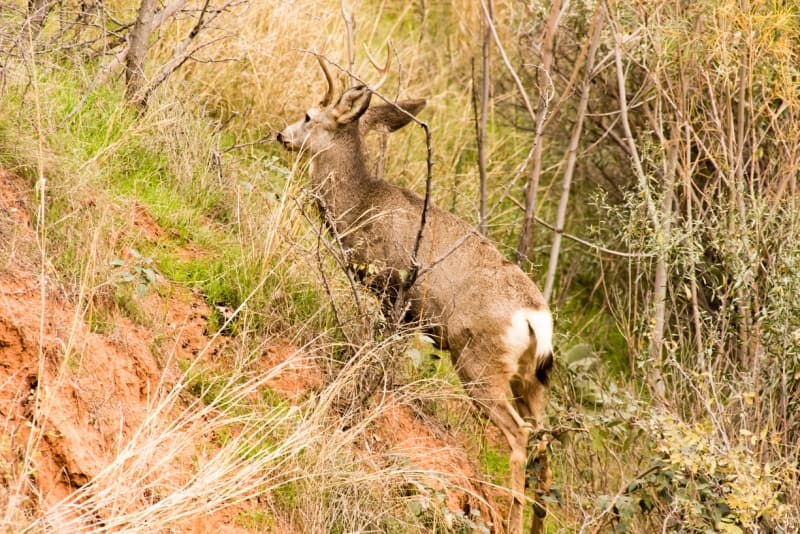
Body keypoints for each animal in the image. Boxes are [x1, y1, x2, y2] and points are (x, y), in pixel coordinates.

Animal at [278, 55, 552, 534]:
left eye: (309, 115)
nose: (282, 135)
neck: (360, 206)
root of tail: (534, 317)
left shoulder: (394, 291)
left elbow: (371, 354)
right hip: (530, 380)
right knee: (547, 439)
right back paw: (537, 519)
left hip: (479, 363)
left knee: (519, 435)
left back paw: (513, 520)